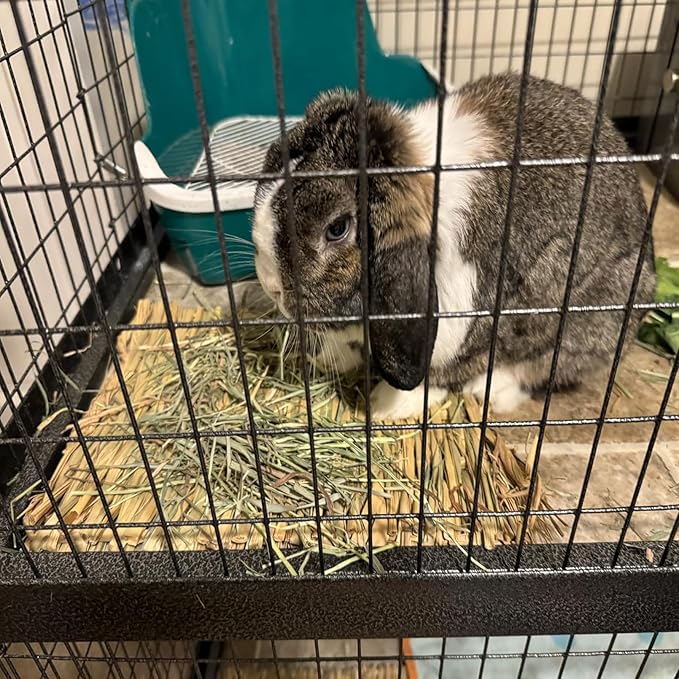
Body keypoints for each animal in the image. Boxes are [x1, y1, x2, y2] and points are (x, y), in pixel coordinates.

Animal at [251, 72, 655, 420]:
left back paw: (491, 391)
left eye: (337, 229)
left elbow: (438, 372)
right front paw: (329, 360)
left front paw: (386, 406)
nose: (271, 287)